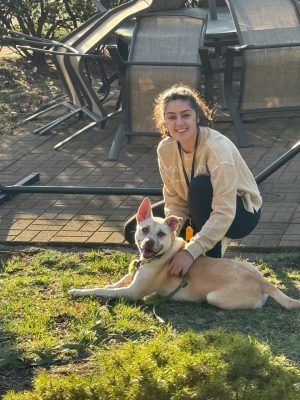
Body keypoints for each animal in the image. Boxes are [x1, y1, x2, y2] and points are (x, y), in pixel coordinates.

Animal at [68, 198, 300, 310]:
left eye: (161, 234)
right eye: (144, 229)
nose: (149, 243)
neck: (160, 257)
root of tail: (263, 282)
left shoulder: (133, 292)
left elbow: (100, 290)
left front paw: (78, 291)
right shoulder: (132, 278)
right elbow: (116, 282)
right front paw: (110, 284)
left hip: (214, 297)